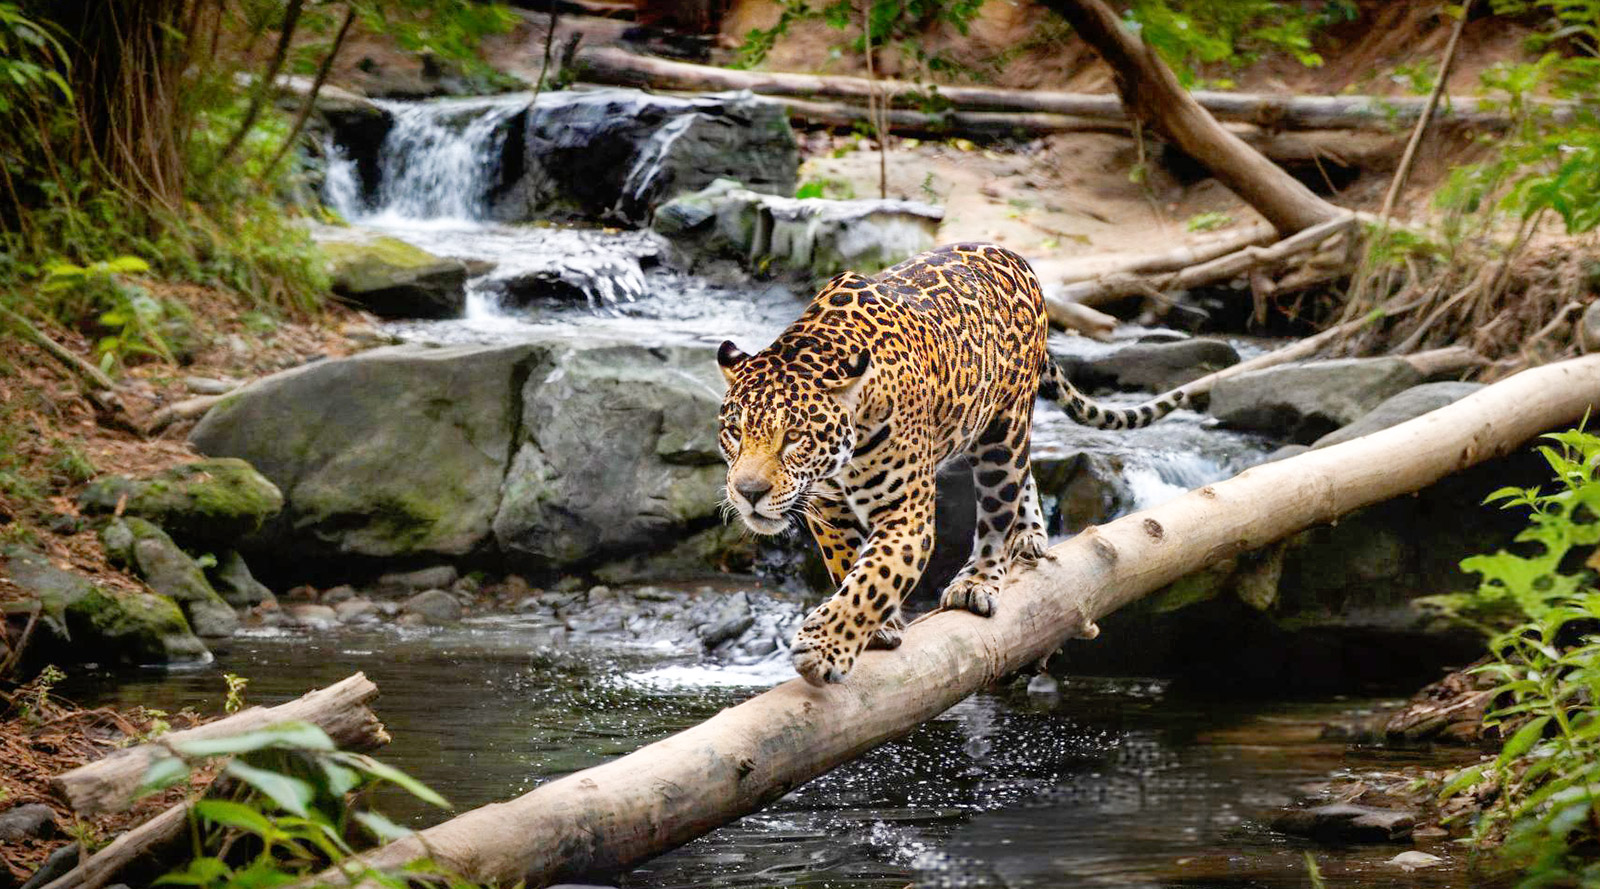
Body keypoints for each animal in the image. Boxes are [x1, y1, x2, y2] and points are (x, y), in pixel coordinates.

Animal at [715, 242, 1188, 686]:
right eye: (734, 432)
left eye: (793, 437)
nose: (749, 493)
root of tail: (1014, 257)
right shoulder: (829, 508)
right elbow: (848, 562)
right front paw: (878, 628)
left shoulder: (906, 512)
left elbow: (876, 577)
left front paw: (825, 648)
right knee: (1027, 476)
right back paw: (1030, 535)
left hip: (1003, 430)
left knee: (1001, 505)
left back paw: (979, 579)